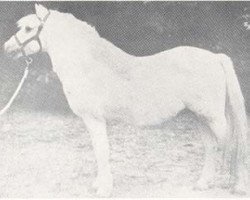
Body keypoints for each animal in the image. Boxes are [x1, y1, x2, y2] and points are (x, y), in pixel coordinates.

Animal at [3, 3, 248, 196]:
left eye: (28, 28)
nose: (7, 47)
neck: (88, 65)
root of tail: (215, 57)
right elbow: (98, 151)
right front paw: (98, 185)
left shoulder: (95, 119)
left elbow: (102, 151)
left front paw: (104, 189)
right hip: (200, 117)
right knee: (212, 147)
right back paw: (202, 184)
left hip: (214, 118)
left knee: (234, 146)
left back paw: (238, 186)